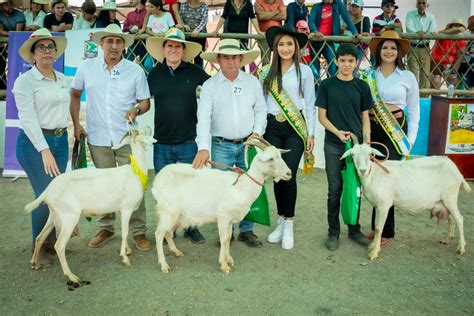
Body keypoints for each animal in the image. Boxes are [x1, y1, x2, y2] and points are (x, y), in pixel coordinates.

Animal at [24, 127, 156, 288]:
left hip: (54, 215)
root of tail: (47, 191)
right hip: (69, 217)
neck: (135, 171)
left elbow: (124, 232)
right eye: (142, 133)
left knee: (39, 237)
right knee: (59, 246)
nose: (149, 128)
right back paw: (72, 277)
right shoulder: (126, 209)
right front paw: (125, 258)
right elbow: (125, 233)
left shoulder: (120, 209)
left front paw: (127, 250)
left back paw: (34, 263)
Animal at [154, 137, 290, 272]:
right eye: (271, 158)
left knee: (167, 233)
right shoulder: (223, 217)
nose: (289, 173)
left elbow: (228, 238)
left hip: (174, 215)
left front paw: (229, 259)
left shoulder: (230, 220)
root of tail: (158, 179)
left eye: (279, 155)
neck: (241, 186)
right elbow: (223, 239)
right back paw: (164, 265)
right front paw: (224, 265)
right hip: (168, 212)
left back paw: (176, 252)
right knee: (159, 234)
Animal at [340, 143, 470, 260]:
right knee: (452, 219)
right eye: (353, 154)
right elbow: (376, 228)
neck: (373, 174)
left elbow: (378, 229)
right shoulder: (377, 205)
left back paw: (461, 247)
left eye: (370, 154)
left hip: (450, 197)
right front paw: (372, 246)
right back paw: (447, 239)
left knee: (459, 219)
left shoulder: (384, 205)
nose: (362, 170)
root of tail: (456, 169)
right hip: (444, 201)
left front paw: (374, 252)